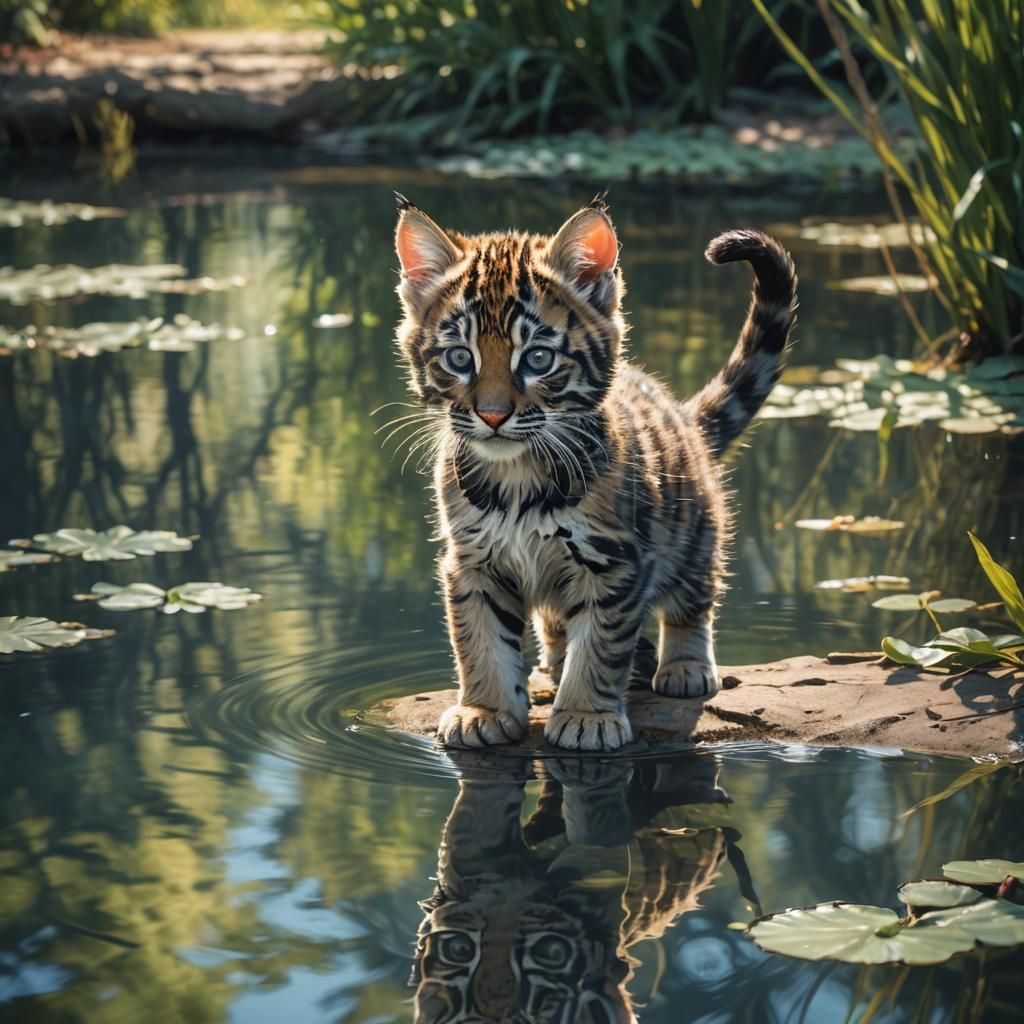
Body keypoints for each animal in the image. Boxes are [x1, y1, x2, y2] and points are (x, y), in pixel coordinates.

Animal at [391, 193, 797, 752]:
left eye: (538, 359)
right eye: (458, 358)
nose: (492, 415)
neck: (517, 477)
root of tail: (683, 416)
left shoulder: (615, 564)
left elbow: (601, 647)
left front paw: (586, 717)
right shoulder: (472, 562)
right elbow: (481, 642)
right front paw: (483, 710)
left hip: (695, 533)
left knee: (692, 603)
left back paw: (686, 667)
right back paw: (552, 666)